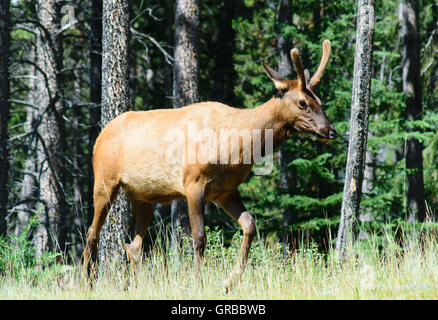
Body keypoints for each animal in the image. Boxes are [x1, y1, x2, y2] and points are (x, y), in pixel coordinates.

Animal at [81, 40, 336, 290]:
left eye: (321, 101)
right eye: (302, 102)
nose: (330, 131)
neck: (236, 146)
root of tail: (99, 137)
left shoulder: (225, 191)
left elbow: (249, 225)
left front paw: (230, 281)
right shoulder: (193, 183)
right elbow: (199, 238)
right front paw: (197, 283)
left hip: (143, 196)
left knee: (133, 245)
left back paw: (139, 286)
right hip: (105, 180)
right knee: (92, 232)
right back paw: (86, 283)